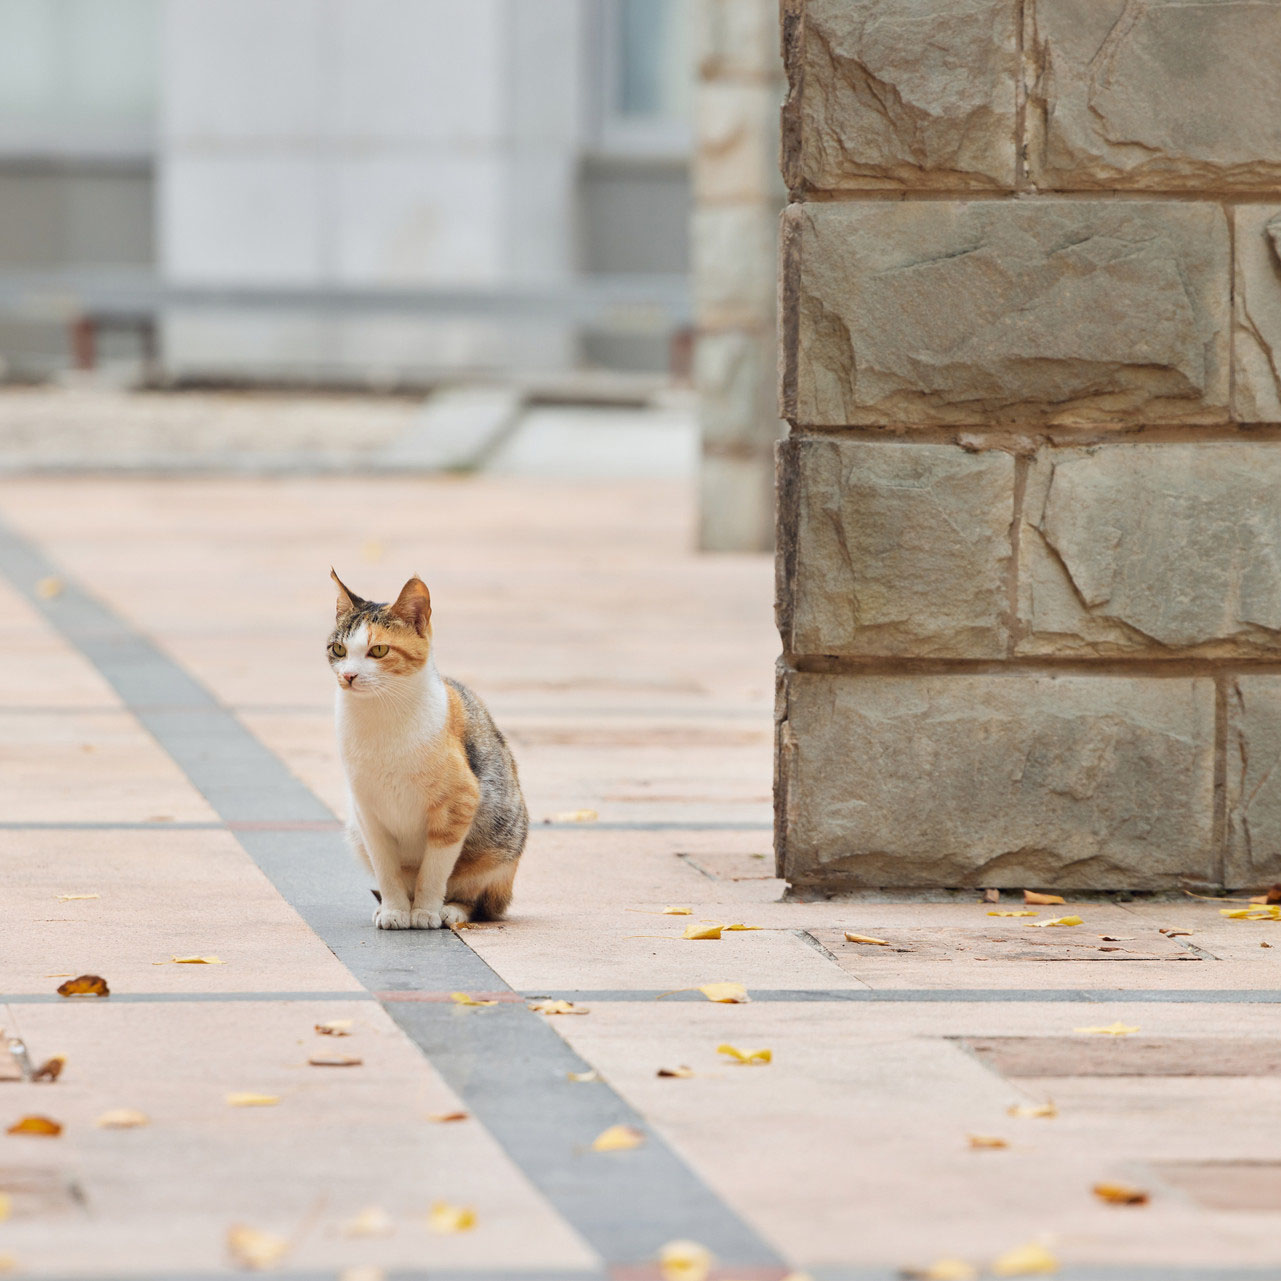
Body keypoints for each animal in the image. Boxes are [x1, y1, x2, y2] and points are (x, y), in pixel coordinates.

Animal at [330, 573, 530, 932]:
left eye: (378, 650)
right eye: (339, 649)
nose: (349, 675)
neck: (380, 716)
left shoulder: (458, 804)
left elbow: (435, 869)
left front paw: (424, 911)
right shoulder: (367, 813)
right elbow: (386, 869)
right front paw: (395, 910)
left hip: (498, 846)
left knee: (479, 900)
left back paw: (453, 910)